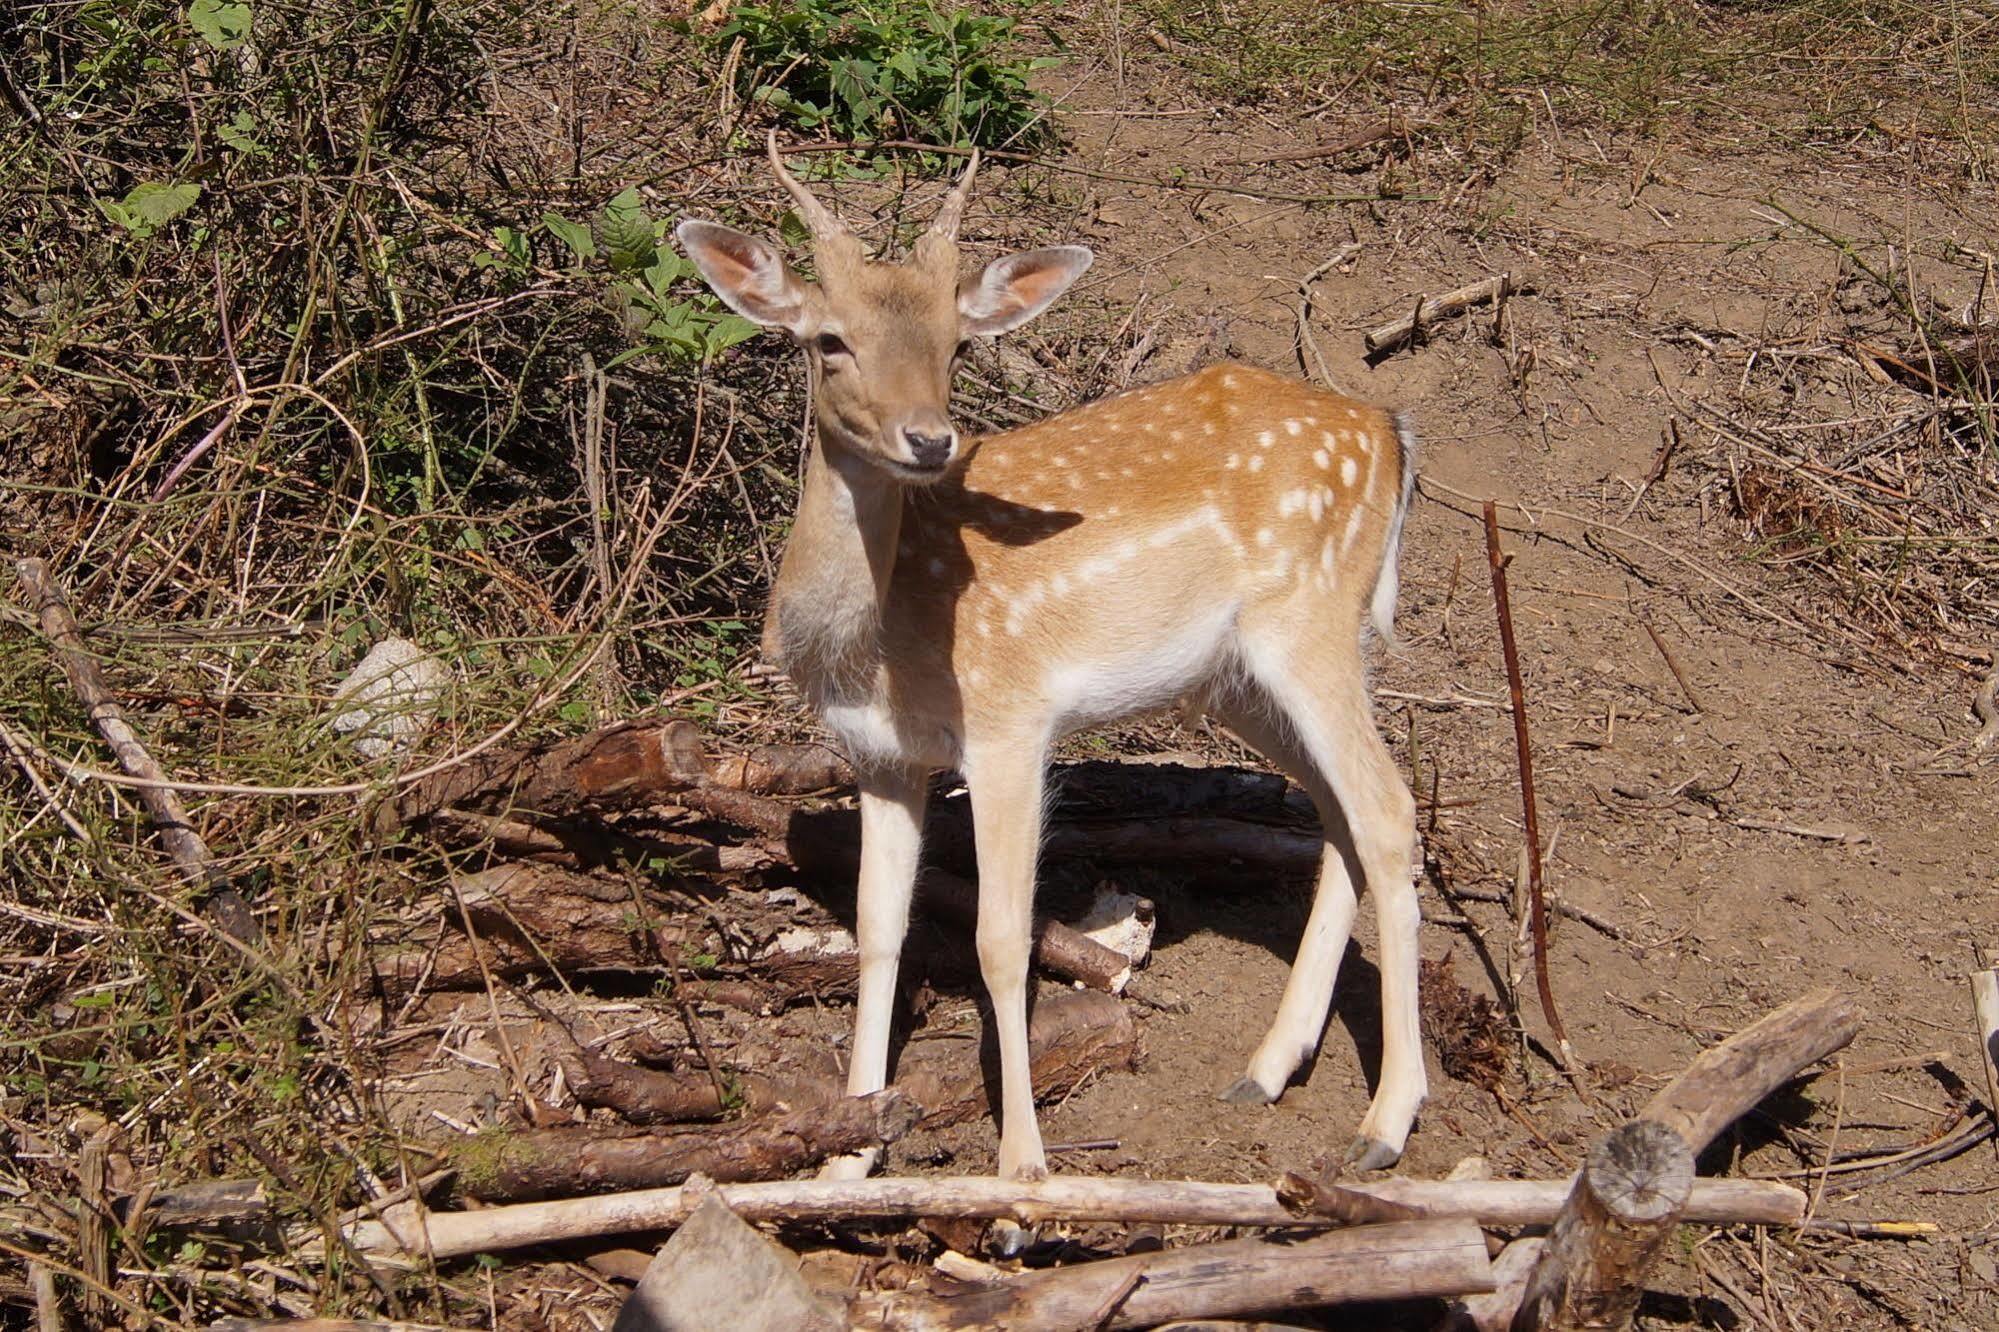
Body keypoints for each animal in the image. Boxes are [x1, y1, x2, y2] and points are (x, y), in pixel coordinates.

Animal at [679, 140, 1431, 1184]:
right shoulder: (877, 757)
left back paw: (1385, 1121)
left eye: (956, 344)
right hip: (1237, 680)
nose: (929, 439)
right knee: (1338, 816)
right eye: (829, 340)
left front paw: (1022, 1169)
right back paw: (1267, 1070)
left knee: (1390, 811)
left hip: (1313, 620)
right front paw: (849, 1154)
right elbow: (876, 931)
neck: (869, 649)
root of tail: (1390, 433)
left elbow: (1001, 940)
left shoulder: (1009, 722)